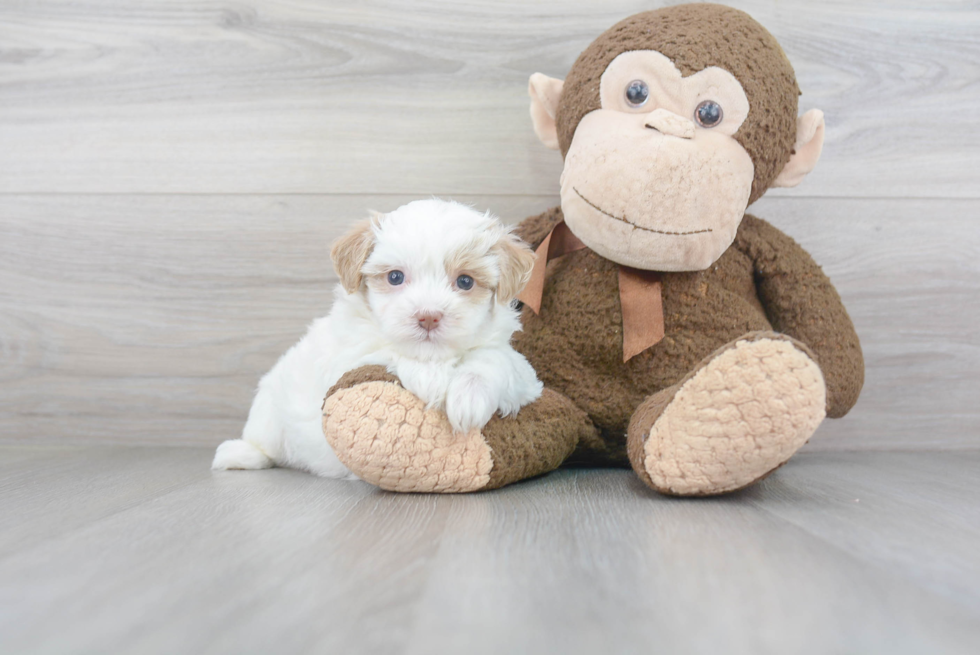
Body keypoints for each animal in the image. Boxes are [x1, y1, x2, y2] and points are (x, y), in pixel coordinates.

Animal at [211, 197, 544, 480]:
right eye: (395, 277)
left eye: (465, 281)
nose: (428, 316)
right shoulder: (347, 358)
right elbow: (387, 350)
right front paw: (433, 380)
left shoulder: (522, 375)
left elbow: (493, 359)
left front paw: (470, 396)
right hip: (268, 408)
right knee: (264, 443)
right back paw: (238, 453)